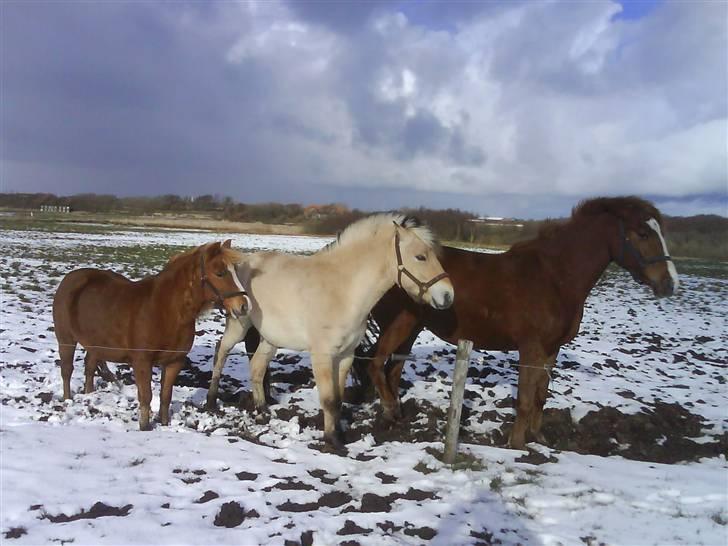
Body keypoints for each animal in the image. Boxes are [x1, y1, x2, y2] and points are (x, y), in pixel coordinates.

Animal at [52, 240, 250, 428]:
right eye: (220, 273)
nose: (244, 305)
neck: (166, 310)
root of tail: (70, 279)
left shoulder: (174, 362)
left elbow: (165, 395)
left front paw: (164, 423)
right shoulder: (142, 362)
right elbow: (146, 395)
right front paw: (145, 426)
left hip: (95, 343)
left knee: (90, 367)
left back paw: (89, 395)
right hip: (66, 340)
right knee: (67, 370)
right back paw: (68, 400)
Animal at [206, 212, 456, 446]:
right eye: (420, 256)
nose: (447, 296)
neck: (343, 292)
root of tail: (244, 261)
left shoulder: (345, 355)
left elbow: (337, 399)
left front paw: (340, 433)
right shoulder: (322, 355)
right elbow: (327, 399)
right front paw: (331, 440)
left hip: (271, 337)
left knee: (257, 367)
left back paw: (261, 410)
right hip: (238, 323)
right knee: (222, 352)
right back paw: (210, 401)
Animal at [352, 196, 676, 446]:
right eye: (643, 234)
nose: (669, 284)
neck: (555, 277)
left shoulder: (551, 350)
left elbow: (540, 395)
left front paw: (538, 439)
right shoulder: (531, 347)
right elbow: (524, 398)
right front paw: (517, 444)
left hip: (412, 328)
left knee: (391, 370)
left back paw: (396, 416)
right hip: (399, 324)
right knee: (375, 364)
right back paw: (390, 411)